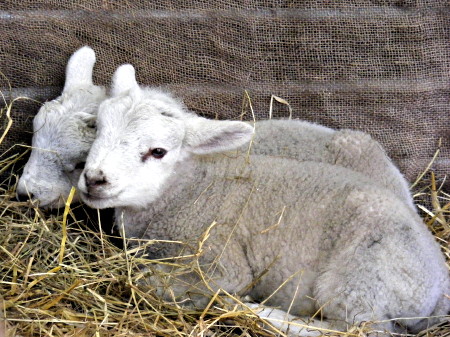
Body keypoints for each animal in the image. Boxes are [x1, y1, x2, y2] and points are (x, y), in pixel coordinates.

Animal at [78, 64, 450, 334]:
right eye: (97, 129)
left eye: (158, 152)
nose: (94, 179)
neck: (186, 187)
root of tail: (437, 284)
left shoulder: (219, 263)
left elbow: (155, 282)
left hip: (362, 279)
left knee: (354, 329)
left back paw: (261, 312)